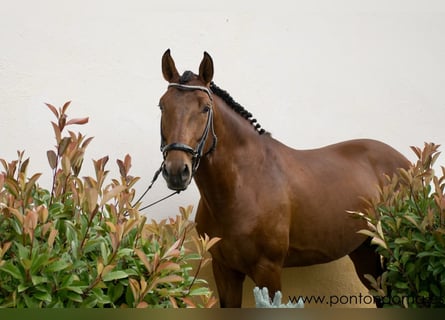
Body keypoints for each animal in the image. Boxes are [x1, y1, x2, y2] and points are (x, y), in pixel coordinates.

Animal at [157, 48, 410, 306]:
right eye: (162, 106)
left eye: (205, 108)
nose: (176, 171)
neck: (243, 186)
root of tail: (405, 163)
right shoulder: (224, 269)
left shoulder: (268, 271)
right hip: (364, 250)